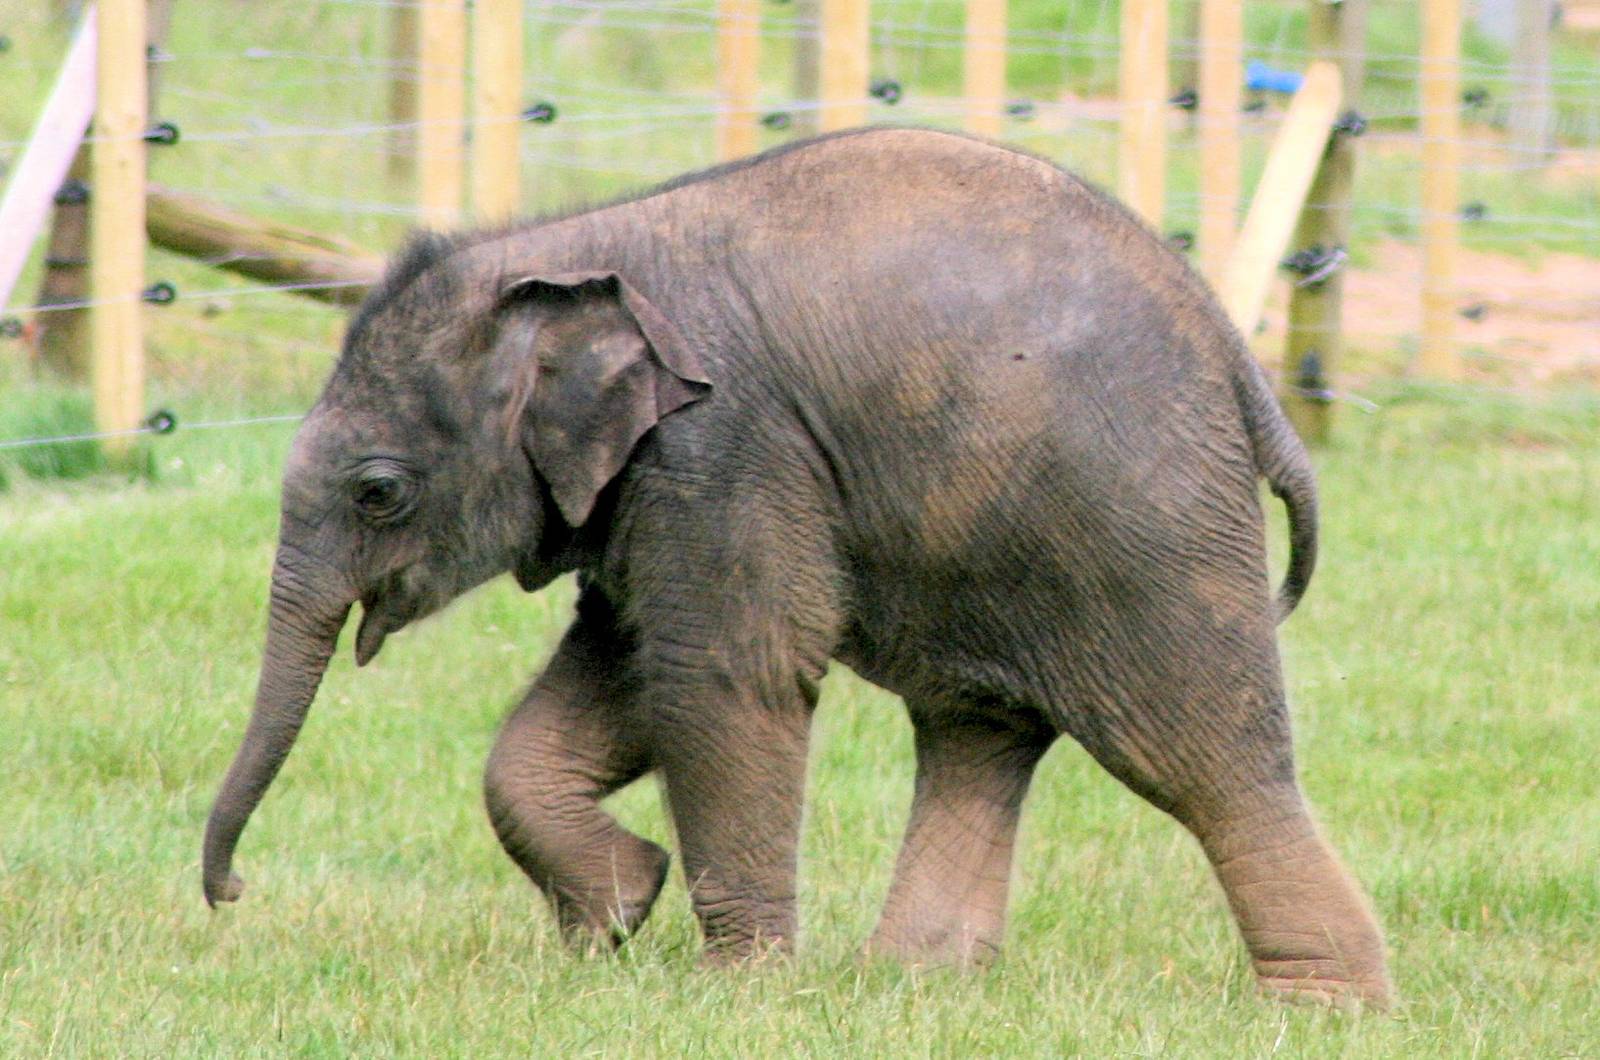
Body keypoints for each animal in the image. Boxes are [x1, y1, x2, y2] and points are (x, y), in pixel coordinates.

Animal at [202, 127, 1390, 1006]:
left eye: (379, 492)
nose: (234, 893)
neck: (566, 254)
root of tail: (1241, 368)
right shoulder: (651, 481)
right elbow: (629, 667)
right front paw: (617, 915)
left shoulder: (723, 443)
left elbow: (724, 673)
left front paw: (737, 989)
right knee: (978, 731)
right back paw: (914, 986)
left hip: (1141, 515)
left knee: (1198, 752)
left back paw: (1322, 1007)